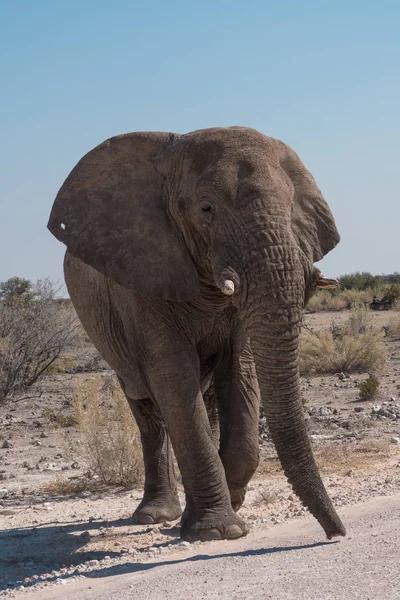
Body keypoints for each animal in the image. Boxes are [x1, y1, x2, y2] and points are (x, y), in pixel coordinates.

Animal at [48, 126, 346, 544]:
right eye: (206, 209)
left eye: (291, 208)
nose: (337, 534)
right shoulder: (143, 276)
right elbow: (174, 377)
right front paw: (220, 532)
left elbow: (241, 370)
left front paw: (233, 502)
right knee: (149, 411)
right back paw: (156, 515)